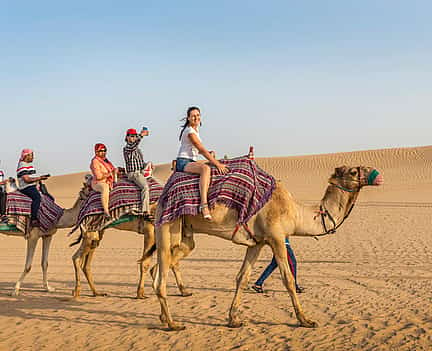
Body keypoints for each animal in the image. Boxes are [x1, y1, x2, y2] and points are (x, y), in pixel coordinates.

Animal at [154, 165, 384, 330]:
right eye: (354, 171)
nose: (378, 175)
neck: (296, 211)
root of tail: (162, 196)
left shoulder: (257, 242)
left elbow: (242, 277)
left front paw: (233, 319)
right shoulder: (277, 237)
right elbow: (288, 279)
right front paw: (305, 320)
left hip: (184, 234)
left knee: (165, 264)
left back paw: (164, 317)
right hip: (167, 225)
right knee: (160, 278)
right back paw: (173, 324)